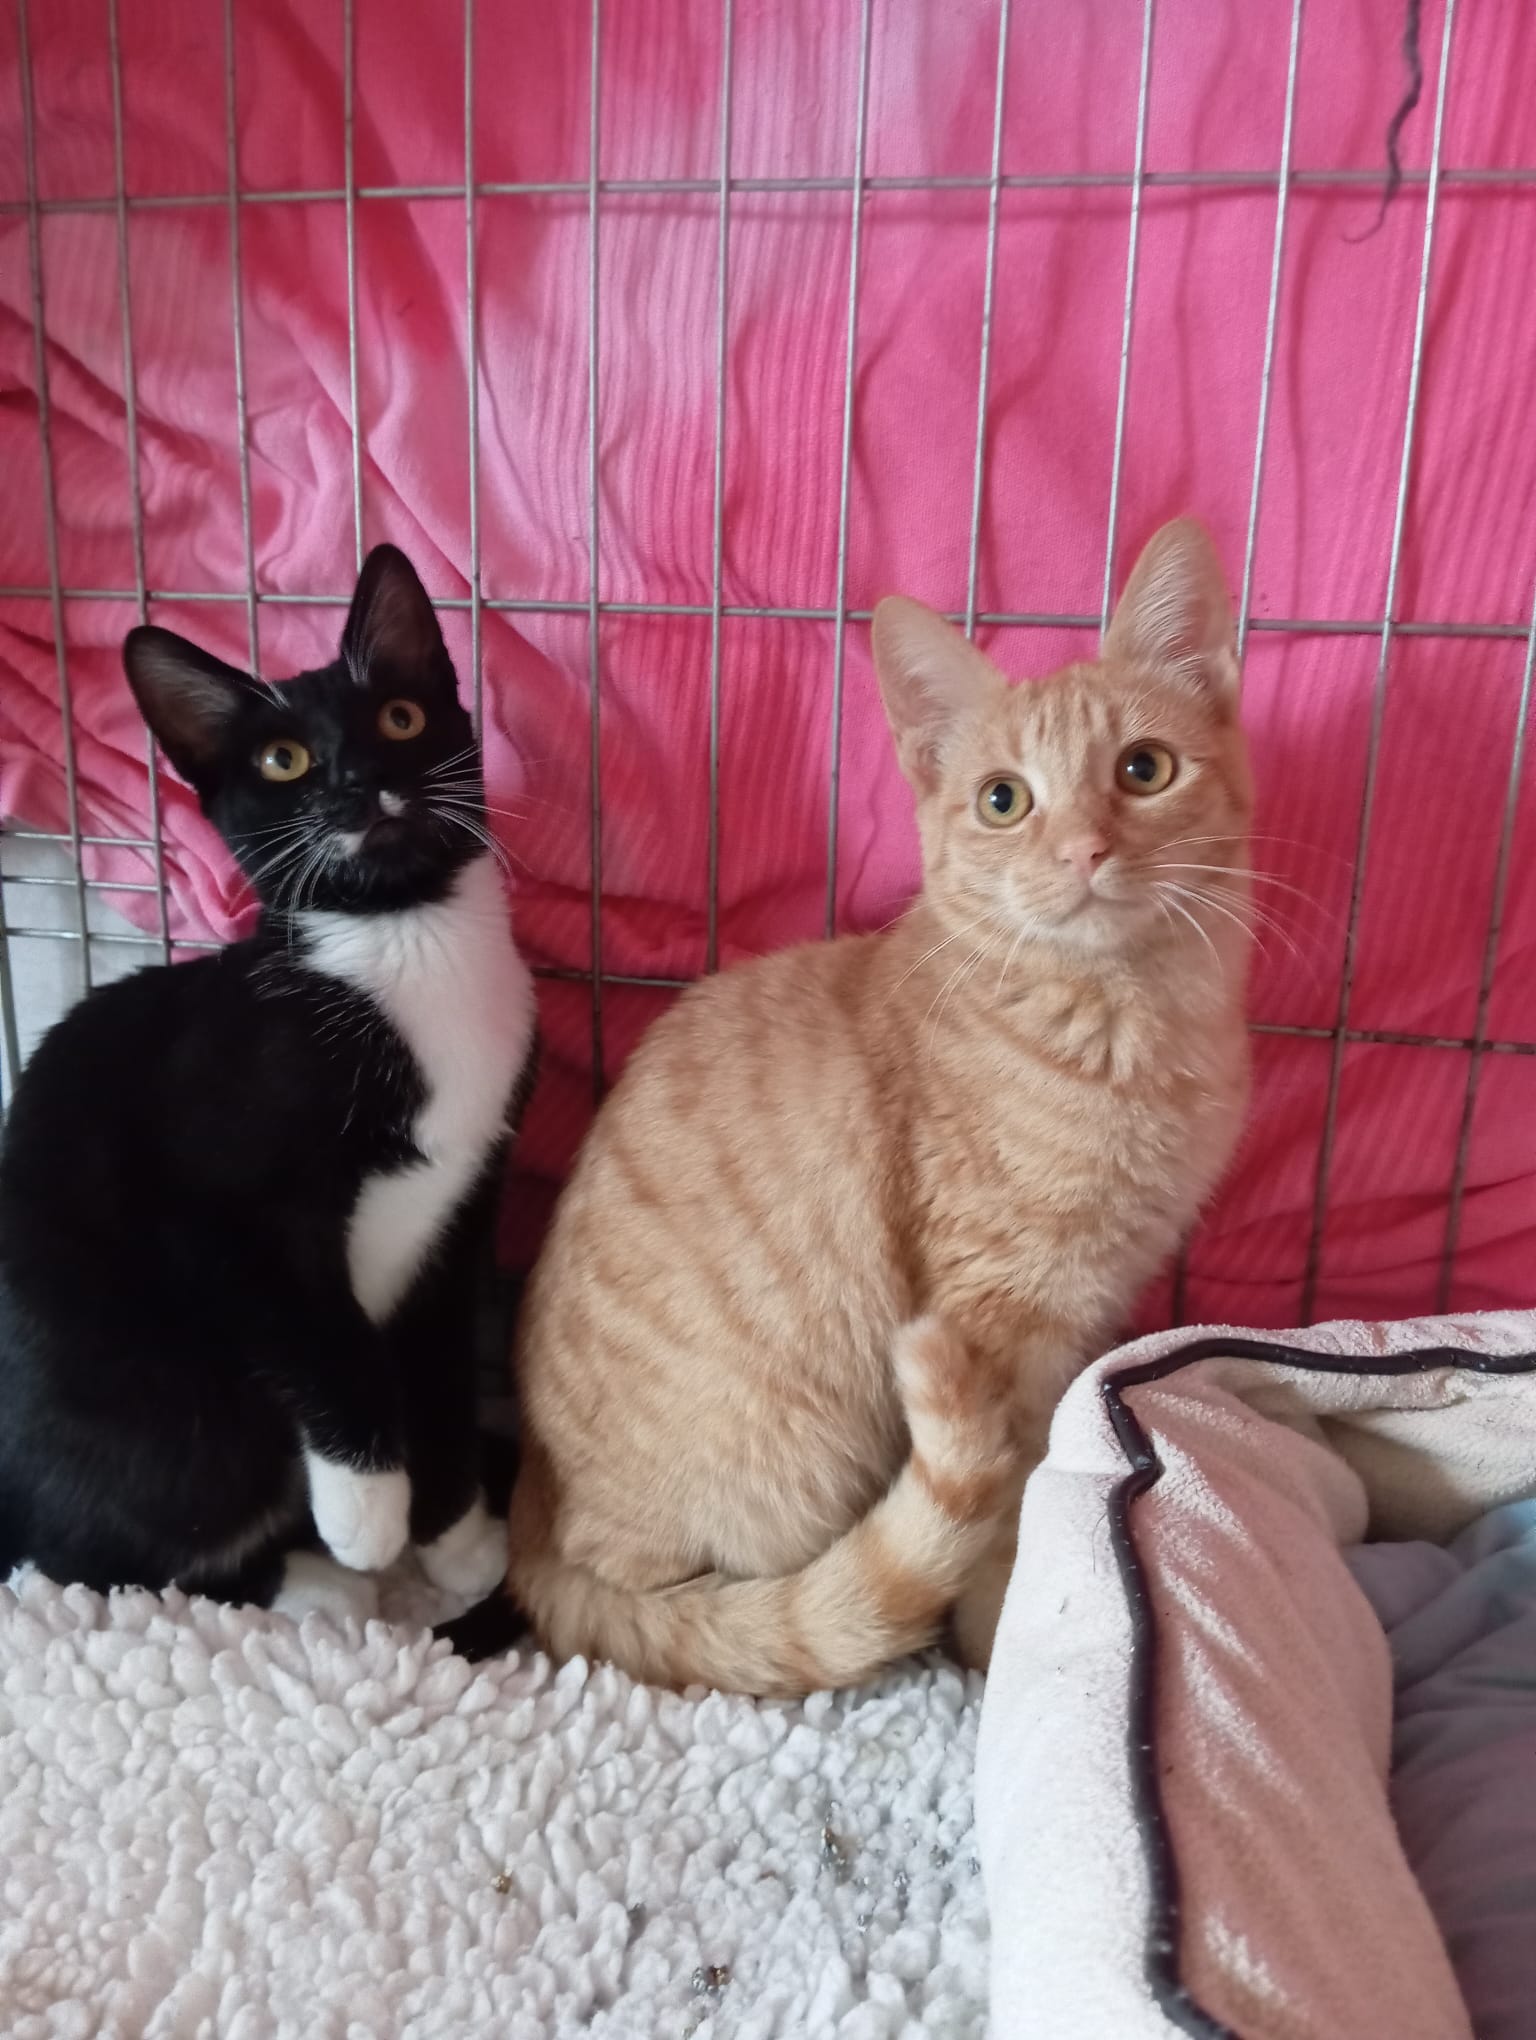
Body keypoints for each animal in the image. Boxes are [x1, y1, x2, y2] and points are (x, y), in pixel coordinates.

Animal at [0, 545, 536, 1625]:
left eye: (401, 718)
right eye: (283, 762)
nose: (360, 780)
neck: (401, 939)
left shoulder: (463, 1210)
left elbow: (440, 1369)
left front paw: (456, 1540)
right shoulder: (219, 1199)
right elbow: (323, 1336)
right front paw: (369, 1514)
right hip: (157, 1393)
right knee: (97, 1557)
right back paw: (319, 1584)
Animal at [440, 517, 1255, 1696]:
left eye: (1143, 770)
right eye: (1004, 799)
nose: (1084, 851)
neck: (1125, 1022)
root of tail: (530, 1515)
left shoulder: (1089, 1303)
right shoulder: (995, 1320)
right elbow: (1004, 1507)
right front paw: (1003, 1645)